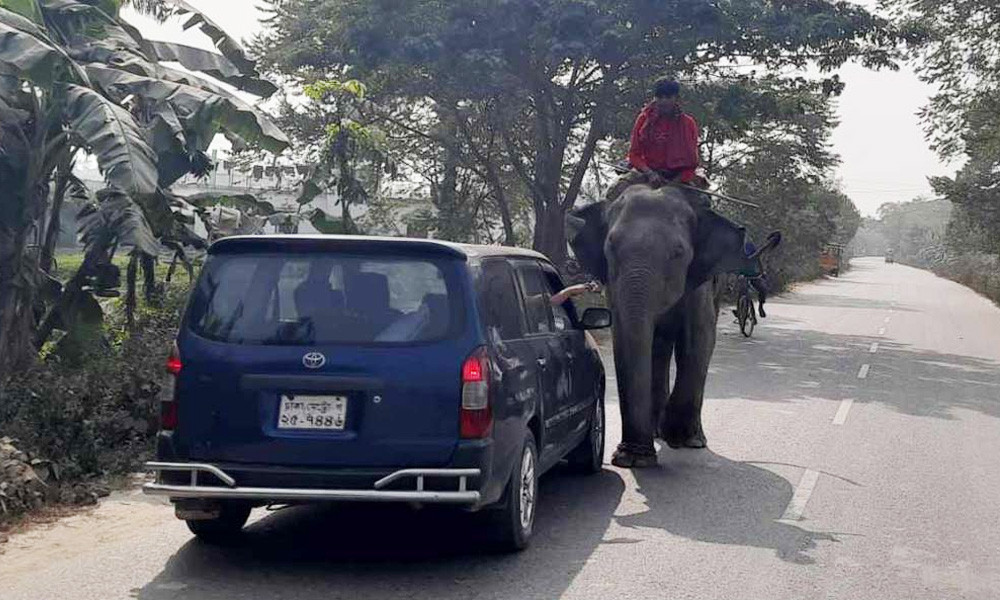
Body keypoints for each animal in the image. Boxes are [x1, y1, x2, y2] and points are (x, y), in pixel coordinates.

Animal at [568, 184, 776, 468]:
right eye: (610, 247)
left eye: (678, 253)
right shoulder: (613, 283)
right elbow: (624, 335)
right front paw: (633, 458)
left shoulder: (700, 281)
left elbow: (700, 337)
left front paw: (675, 436)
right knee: (659, 347)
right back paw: (656, 431)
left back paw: (691, 438)